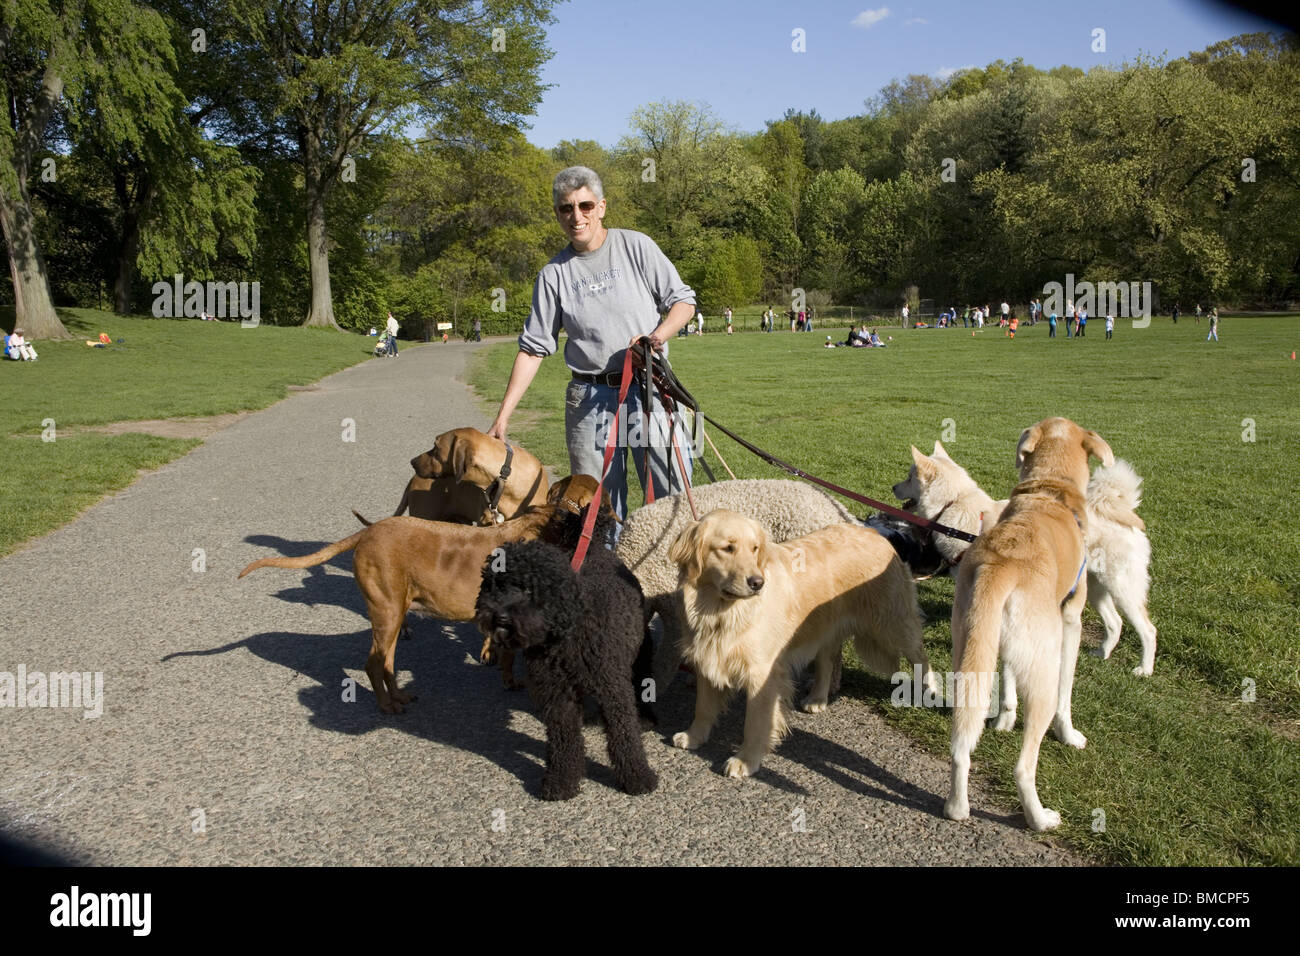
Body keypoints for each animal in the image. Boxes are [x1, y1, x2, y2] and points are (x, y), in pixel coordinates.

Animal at [243, 476, 598, 712]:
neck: (551, 521)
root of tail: (367, 532)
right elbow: (509, 658)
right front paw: (510, 681)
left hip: (393, 617)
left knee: (386, 663)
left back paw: (398, 695)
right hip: (387, 613)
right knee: (373, 665)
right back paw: (387, 706)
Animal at [670, 509, 935, 780]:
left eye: (755, 548)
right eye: (727, 548)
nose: (757, 583)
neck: (719, 610)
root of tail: (876, 534)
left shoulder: (763, 675)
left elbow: (755, 722)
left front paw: (746, 759)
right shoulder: (707, 654)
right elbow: (703, 706)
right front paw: (694, 735)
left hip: (893, 623)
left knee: (920, 655)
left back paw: (929, 689)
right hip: (826, 626)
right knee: (827, 661)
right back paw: (817, 698)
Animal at [946, 418, 1118, 832]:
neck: (1049, 489)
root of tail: (1000, 565)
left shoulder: (1004, 645)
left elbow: (1008, 680)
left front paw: (1004, 718)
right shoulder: (1070, 622)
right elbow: (1067, 694)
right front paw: (1069, 734)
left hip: (969, 656)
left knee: (960, 745)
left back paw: (957, 807)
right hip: (1041, 675)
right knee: (1023, 767)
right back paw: (1040, 818)